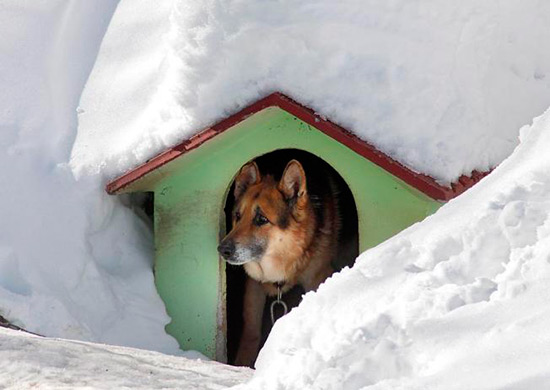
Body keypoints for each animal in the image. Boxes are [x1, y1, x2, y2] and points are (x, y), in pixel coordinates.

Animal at [219, 157, 340, 368]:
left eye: (261, 219)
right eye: (237, 216)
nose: (222, 249)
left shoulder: (317, 277)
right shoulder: (254, 287)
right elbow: (251, 331)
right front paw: (242, 363)